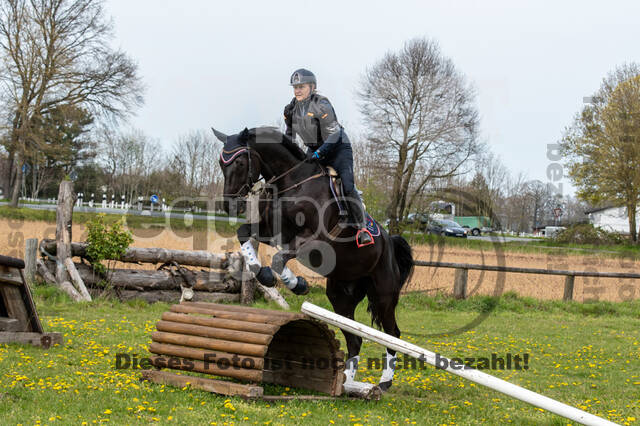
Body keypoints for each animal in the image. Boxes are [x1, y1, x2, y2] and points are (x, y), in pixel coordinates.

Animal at [214, 125, 416, 392]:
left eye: (238, 163)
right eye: (221, 163)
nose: (229, 205)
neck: (291, 183)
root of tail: (389, 242)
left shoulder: (312, 239)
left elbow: (278, 259)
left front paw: (297, 284)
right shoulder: (272, 231)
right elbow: (244, 235)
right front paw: (264, 274)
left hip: (383, 295)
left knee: (393, 334)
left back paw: (384, 382)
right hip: (341, 296)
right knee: (354, 338)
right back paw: (346, 383)